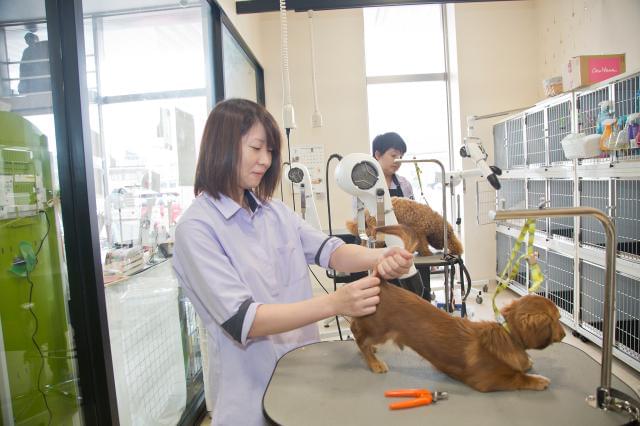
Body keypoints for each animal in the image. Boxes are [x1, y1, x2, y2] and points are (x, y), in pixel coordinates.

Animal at [352, 225, 568, 392]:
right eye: (557, 319)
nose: (565, 334)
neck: (507, 336)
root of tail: (381, 282)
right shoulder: (488, 380)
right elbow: (519, 377)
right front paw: (538, 380)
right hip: (379, 329)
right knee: (358, 336)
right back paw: (374, 362)